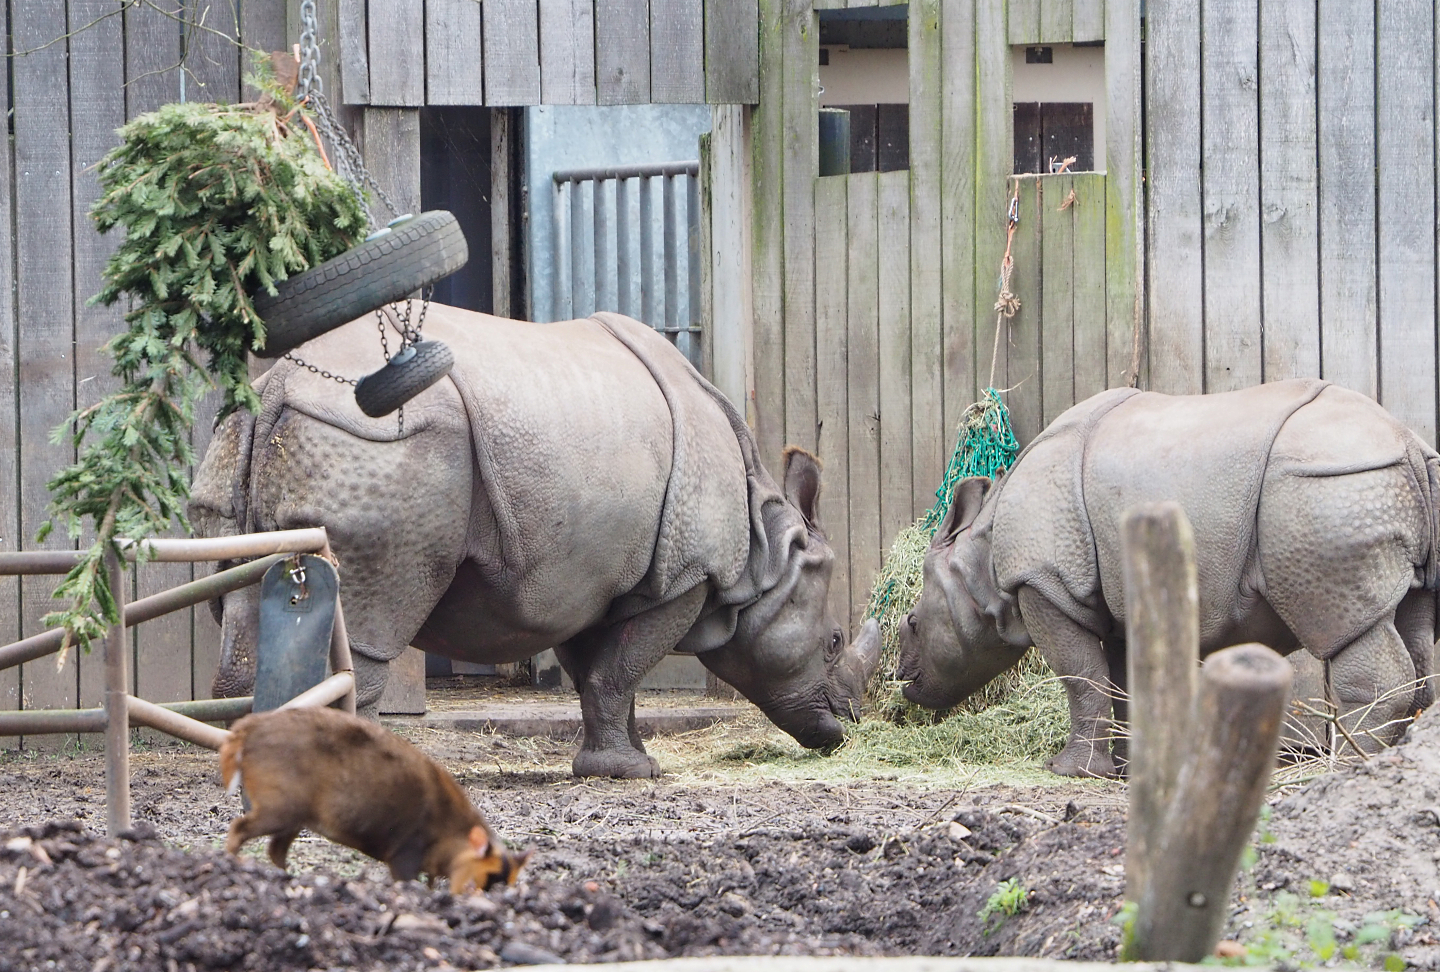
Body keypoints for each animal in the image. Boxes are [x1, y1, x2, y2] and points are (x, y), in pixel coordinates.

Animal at [190, 306, 881, 778]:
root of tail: (281, 386)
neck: (765, 549)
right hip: (378, 444)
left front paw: (629, 764)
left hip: (247, 435)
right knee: (366, 622)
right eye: (834, 641)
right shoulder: (684, 578)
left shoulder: (593, 579)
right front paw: (630, 772)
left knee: (246, 600)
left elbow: (603, 675)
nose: (848, 723)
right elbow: (619, 670)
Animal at [897, 379, 1438, 778]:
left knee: (1348, 627)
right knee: (1414, 621)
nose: (904, 680)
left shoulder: (1045, 583)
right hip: (1368, 484)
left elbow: (1081, 677)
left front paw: (1069, 771)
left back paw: (1348, 767)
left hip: (1329, 485)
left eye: (913, 623)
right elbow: (1124, 681)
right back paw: (1399, 760)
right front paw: (1131, 768)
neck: (982, 557)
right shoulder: (1116, 600)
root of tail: (1407, 441)